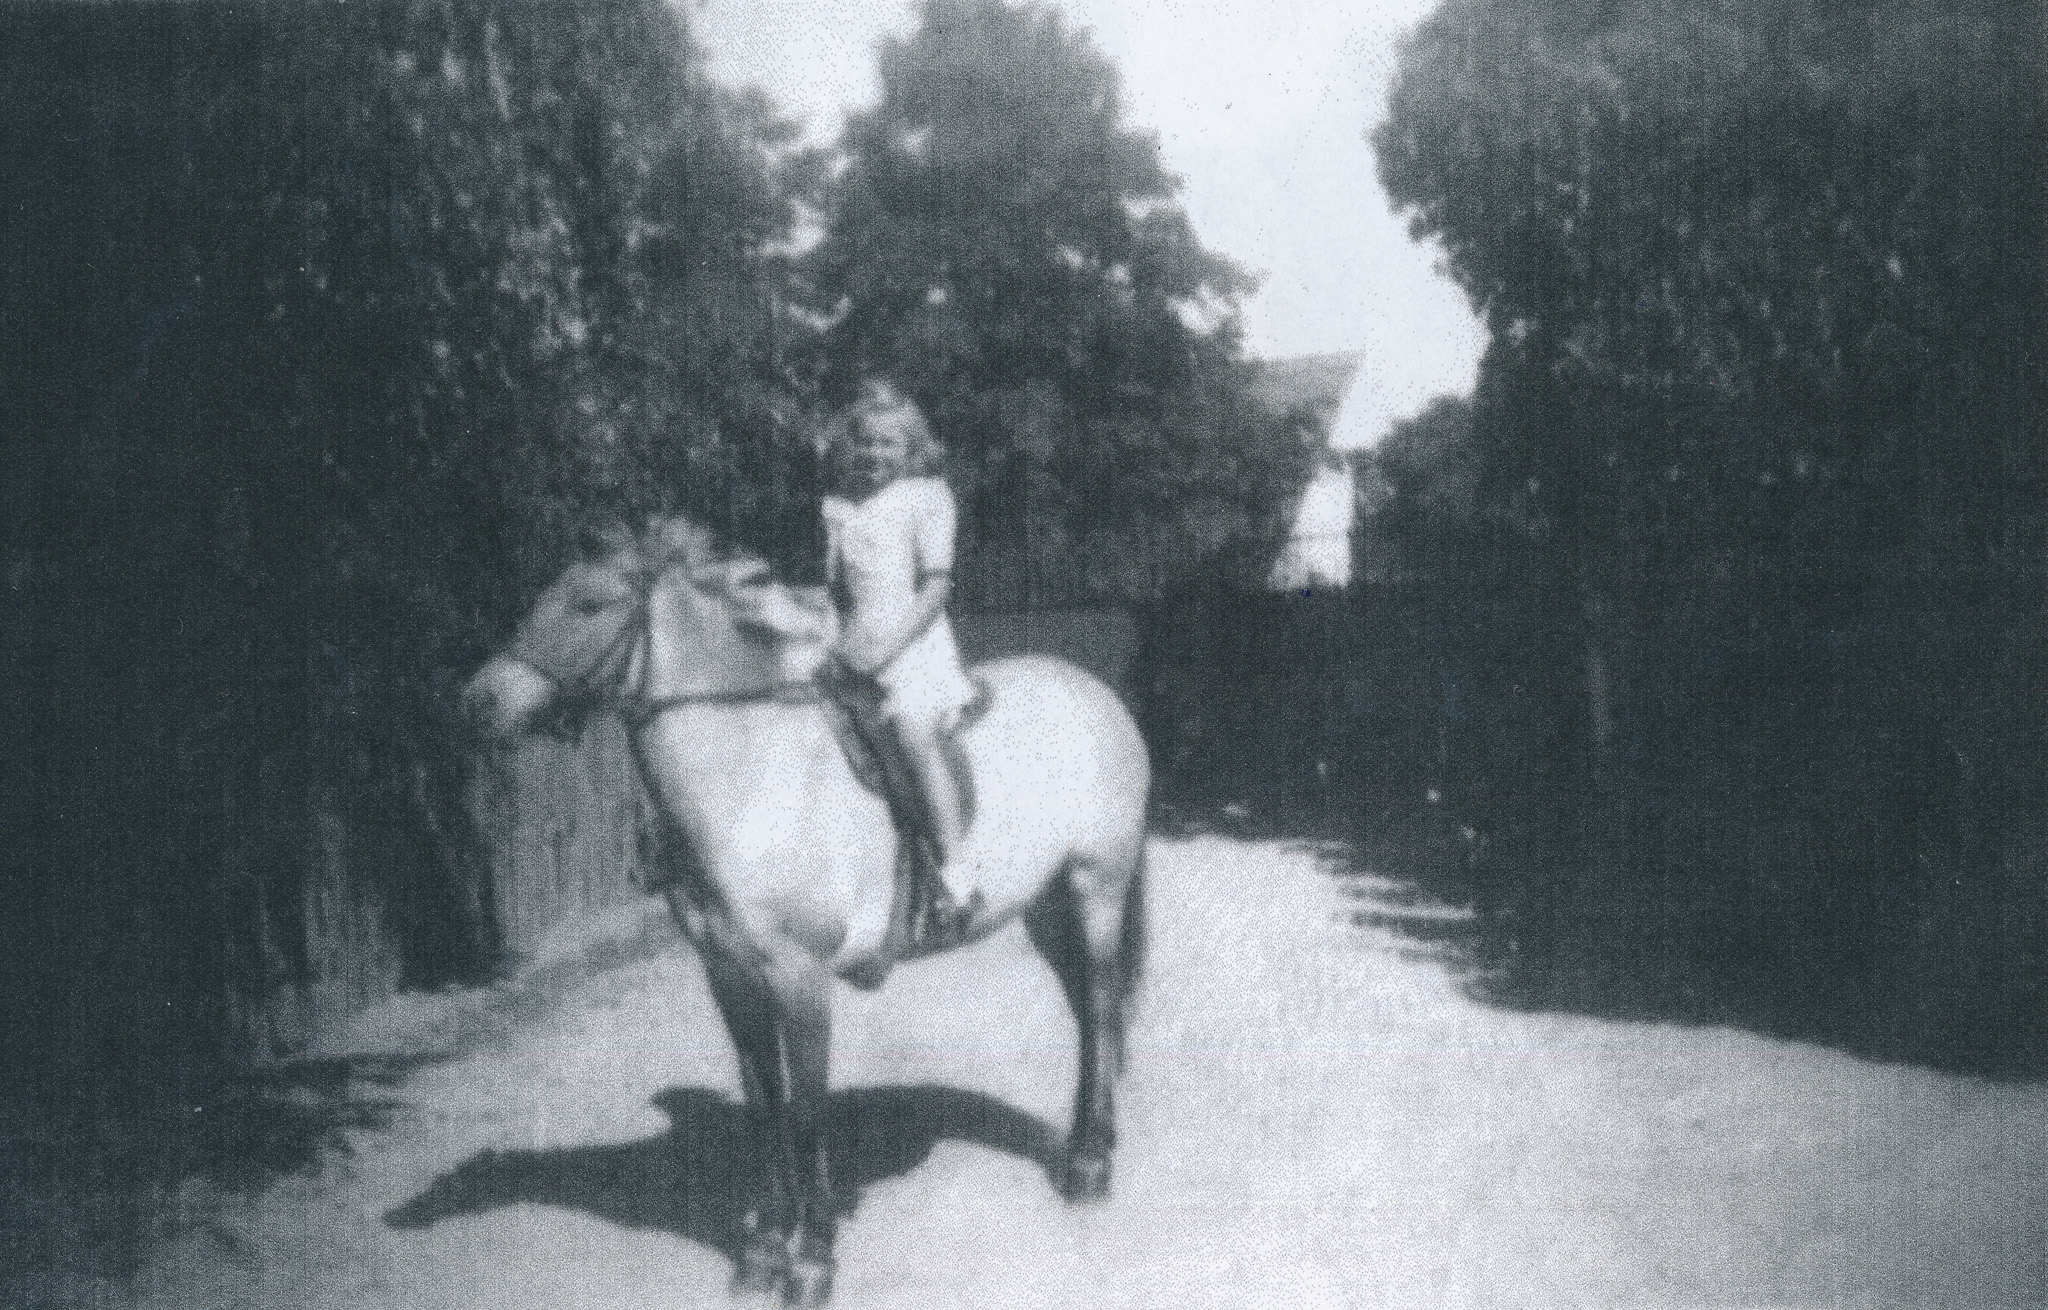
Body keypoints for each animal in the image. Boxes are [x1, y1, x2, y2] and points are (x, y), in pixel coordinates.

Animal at [461, 515, 1151, 1307]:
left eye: (589, 604)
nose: (476, 702)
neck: (750, 782)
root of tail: (1096, 694)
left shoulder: (800, 980)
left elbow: (809, 1109)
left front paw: (814, 1259)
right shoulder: (729, 977)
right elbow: (765, 1107)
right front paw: (764, 1249)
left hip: (1097, 891)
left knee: (1101, 1007)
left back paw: (1090, 1169)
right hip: (1047, 907)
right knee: (1090, 1015)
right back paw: (1085, 1147)